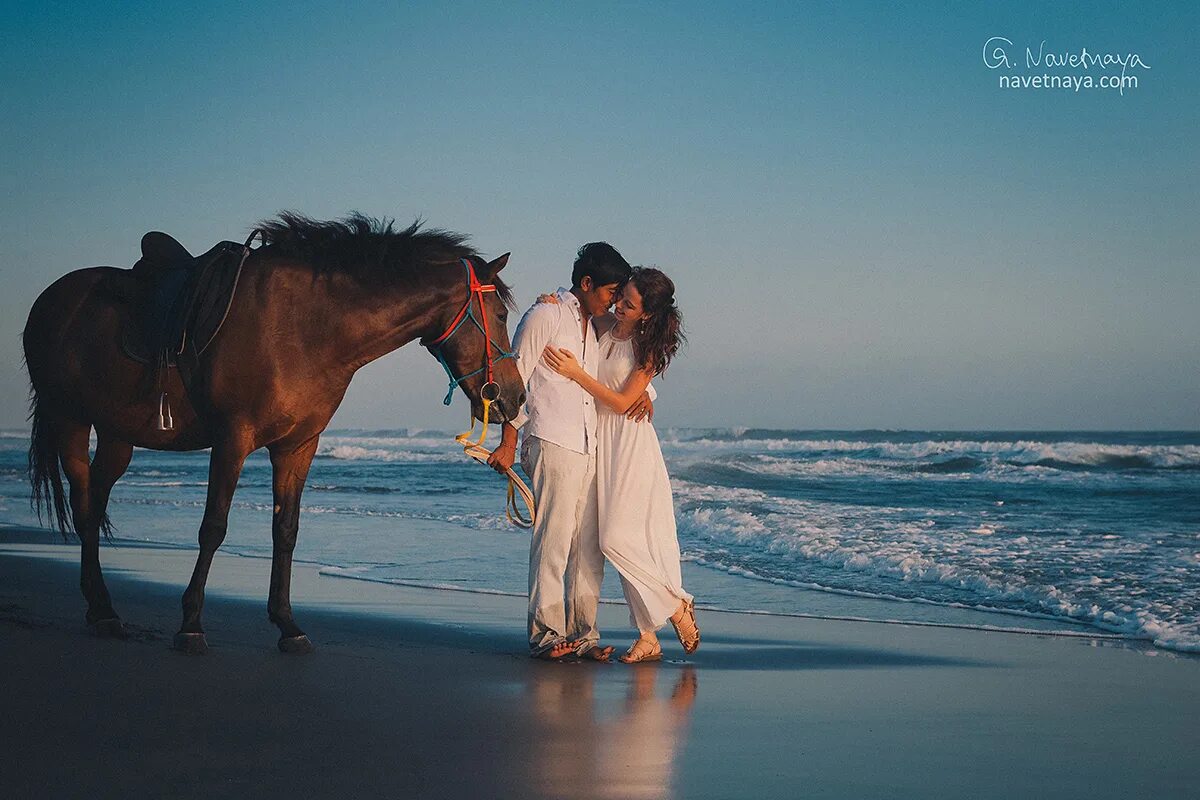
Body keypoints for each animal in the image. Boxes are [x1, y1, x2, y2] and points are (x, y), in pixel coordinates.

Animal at [22, 214, 525, 657]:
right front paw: (191, 625)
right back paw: (104, 611)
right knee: (84, 505)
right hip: (69, 420)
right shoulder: (232, 440)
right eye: (500, 315)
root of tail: (50, 298)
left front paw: (288, 625)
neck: (304, 329)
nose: (515, 398)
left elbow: (286, 531)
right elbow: (213, 527)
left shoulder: (297, 447)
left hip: (117, 435)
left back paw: (100, 609)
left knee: (95, 502)